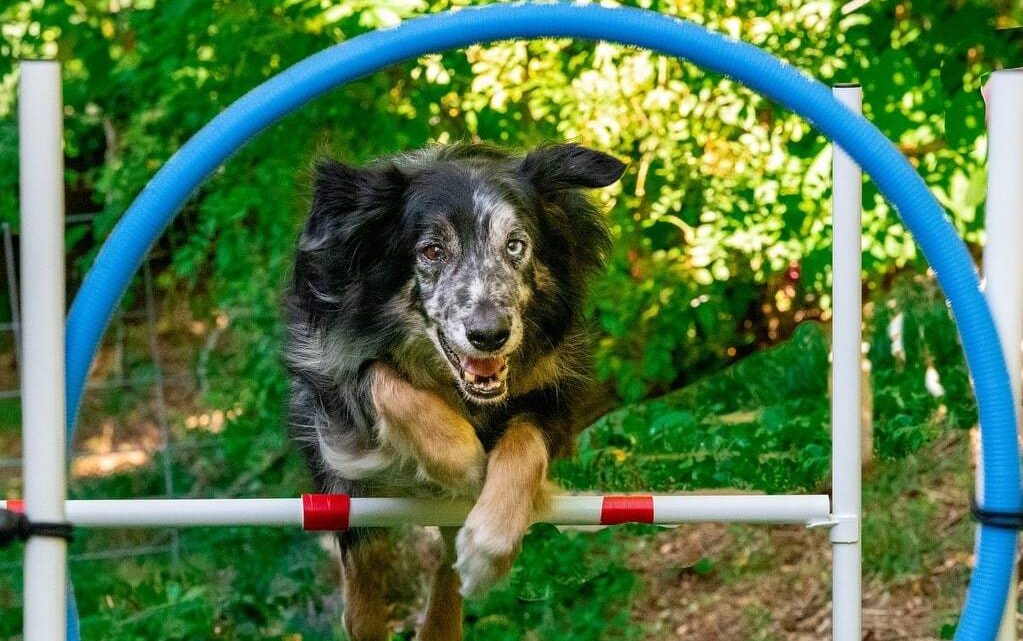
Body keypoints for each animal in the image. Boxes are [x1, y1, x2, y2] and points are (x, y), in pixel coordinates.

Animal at [284, 142, 626, 641]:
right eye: (431, 250)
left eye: (516, 245)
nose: (489, 335)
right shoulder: (326, 368)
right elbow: (380, 379)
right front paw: (463, 459)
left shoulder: (555, 394)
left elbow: (524, 444)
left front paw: (488, 547)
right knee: (357, 545)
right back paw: (366, 613)